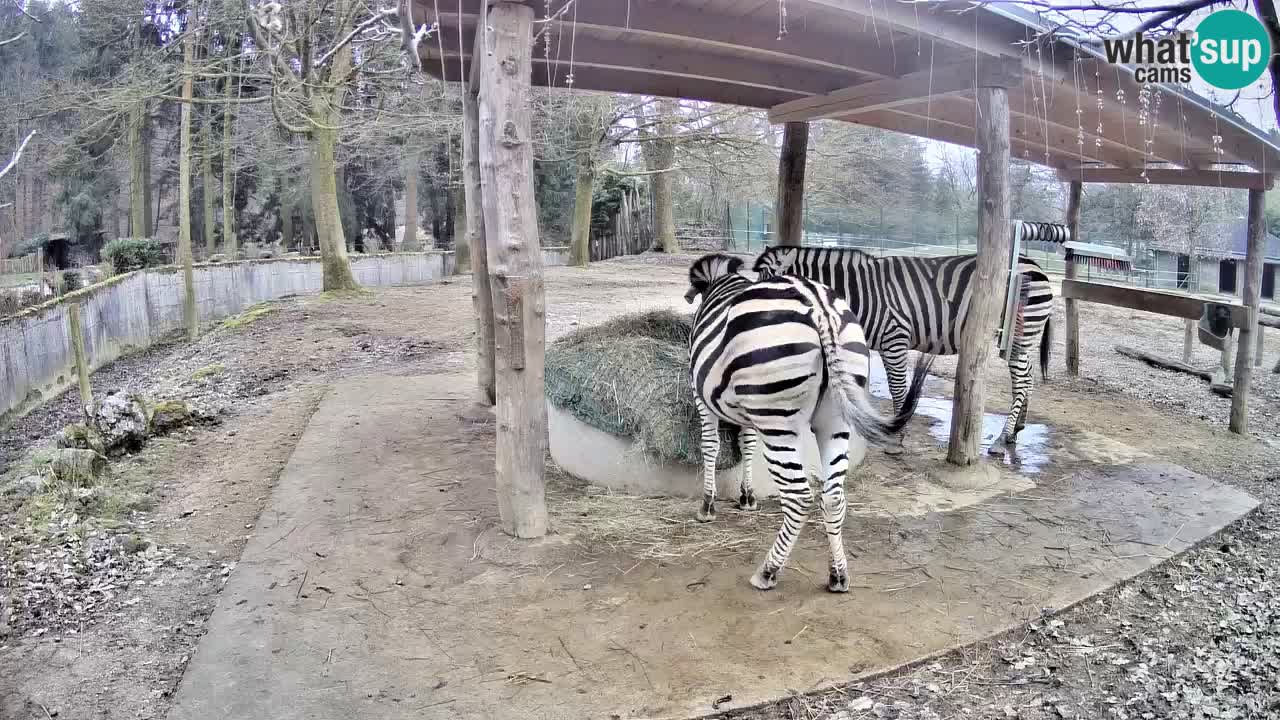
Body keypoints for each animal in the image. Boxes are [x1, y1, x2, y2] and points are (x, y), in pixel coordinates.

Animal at [686, 252, 936, 589]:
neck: (725, 281)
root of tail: (820, 308)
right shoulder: (747, 409)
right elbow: (747, 444)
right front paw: (747, 497)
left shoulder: (703, 398)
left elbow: (710, 447)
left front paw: (707, 506)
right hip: (835, 420)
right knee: (833, 497)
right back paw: (838, 574)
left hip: (778, 423)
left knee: (800, 497)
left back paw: (768, 572)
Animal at [752, 245, 1054, 448]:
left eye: (770, 292)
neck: (863, 293)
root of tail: (1036, 265)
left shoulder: (894, 337)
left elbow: (897, 388)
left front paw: (896, 433)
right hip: (1022, 336)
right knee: (1025, 377)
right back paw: (1017, 428)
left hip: (1019, 333)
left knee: (1023, 379)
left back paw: (1004, 436)